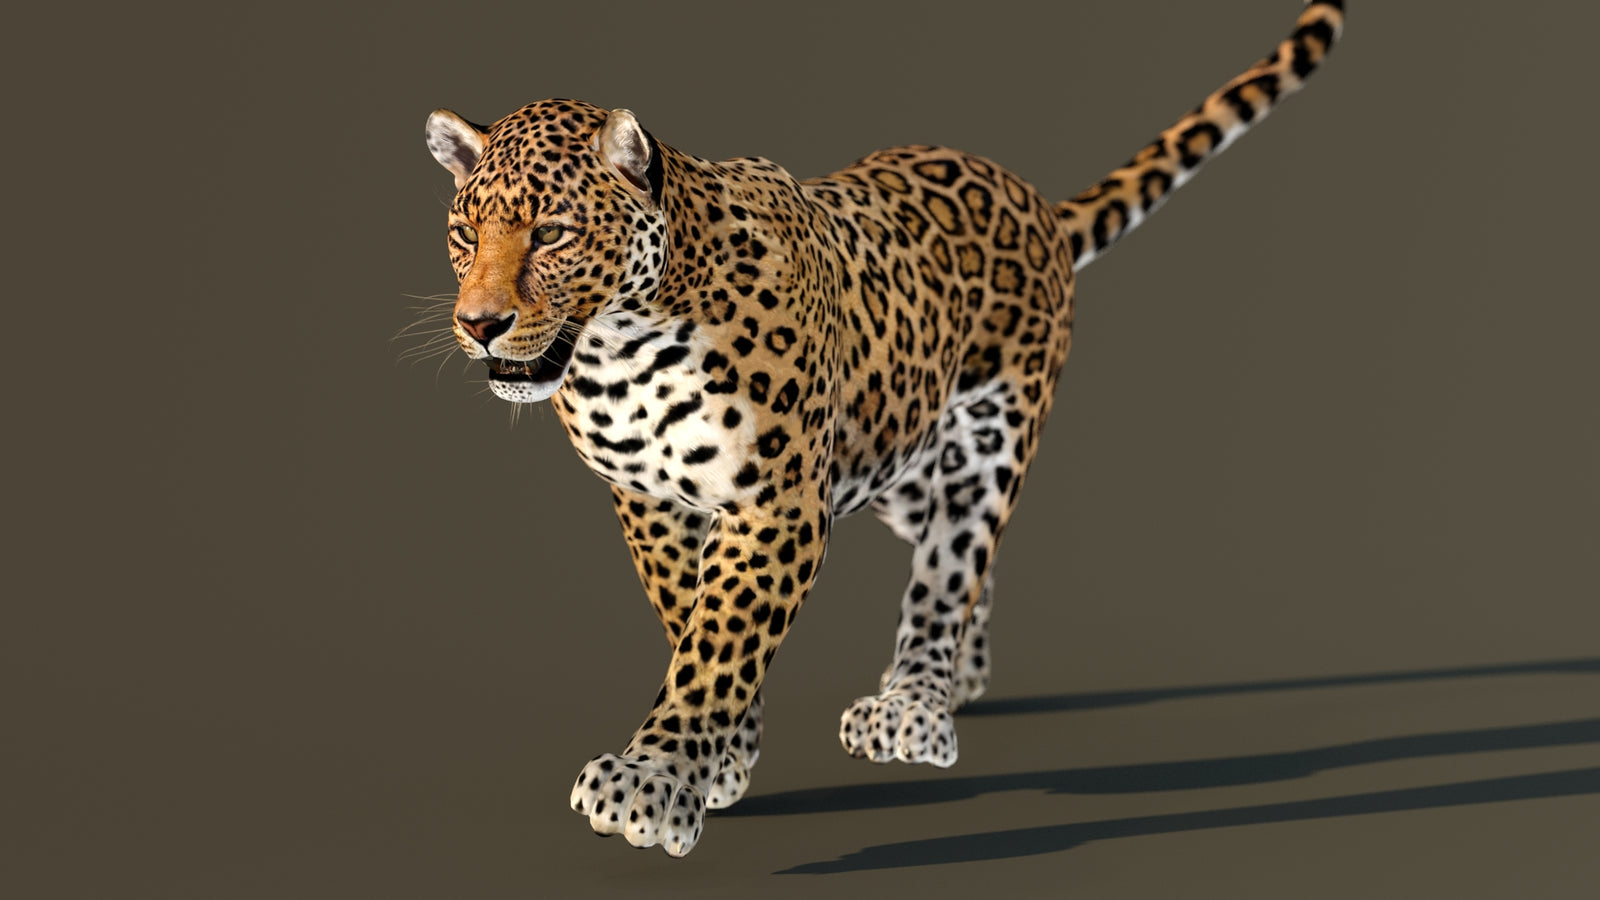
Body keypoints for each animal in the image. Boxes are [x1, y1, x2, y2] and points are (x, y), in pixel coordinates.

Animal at [419, 1, 1345, 857]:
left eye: (553, 232)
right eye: (465, 232)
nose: (480, 325)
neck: (621, 351)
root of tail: (1034, 203)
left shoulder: (780, 502)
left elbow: (719, 636)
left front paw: (655, 778)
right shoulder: (649, 499)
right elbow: (688, 614)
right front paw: (725, 755)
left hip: (985, 439)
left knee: (950, 566)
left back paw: (916, 703)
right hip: (891, 448)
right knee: (956, 555)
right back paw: (963, 673)